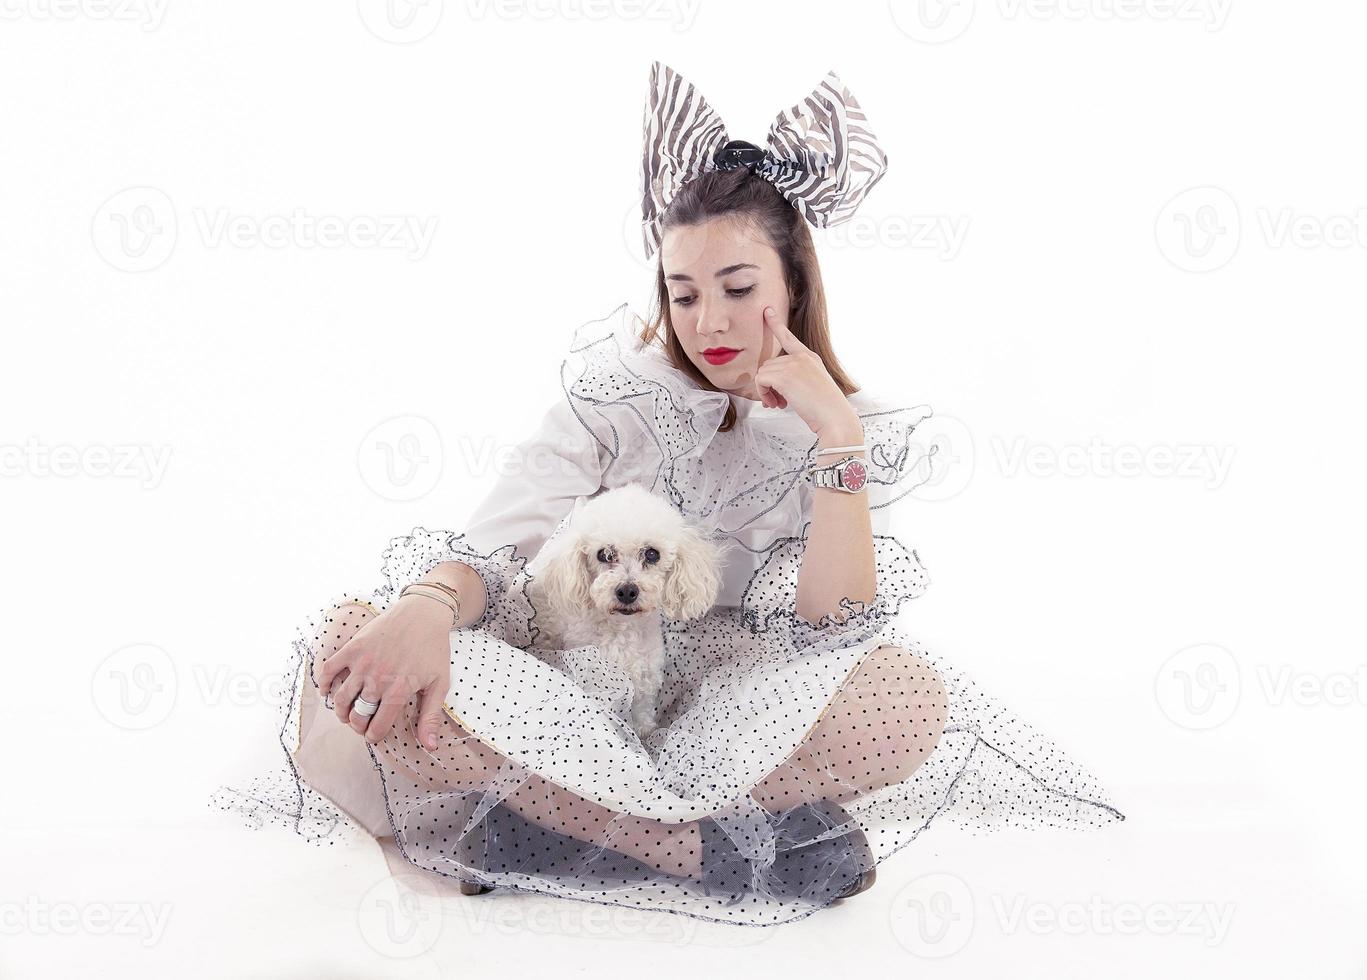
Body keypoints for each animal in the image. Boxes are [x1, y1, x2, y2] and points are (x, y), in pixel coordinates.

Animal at [527, 481, 727, 743]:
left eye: (652, 554)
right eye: (604, 554)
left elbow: (641, 708)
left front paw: (643, 731)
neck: (623, 632)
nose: (627, 591)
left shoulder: (645, 678)